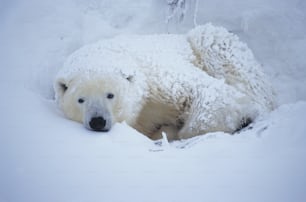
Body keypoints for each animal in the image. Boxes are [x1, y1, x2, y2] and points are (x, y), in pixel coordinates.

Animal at [53, 23, 276, 140]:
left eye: (110, 95)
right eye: (80, 100)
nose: (98, 121)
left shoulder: (159, 76)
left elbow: (211, 94)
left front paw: (178, 131)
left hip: (209, 44)